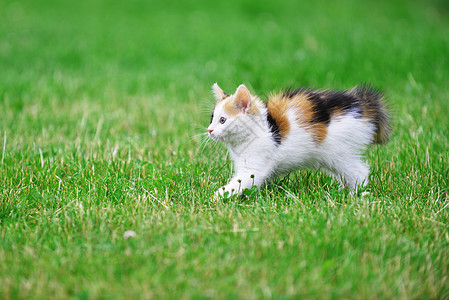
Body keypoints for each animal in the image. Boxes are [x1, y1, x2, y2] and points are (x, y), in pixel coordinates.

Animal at [207, 83, 388, 198]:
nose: (209, 130)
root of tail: (361, 105)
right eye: (212, 118)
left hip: (340, 152)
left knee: (359, 171)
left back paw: (355, 195)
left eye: (223, 120)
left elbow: (242, 181)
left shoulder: (253, 166)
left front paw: (217, 197)